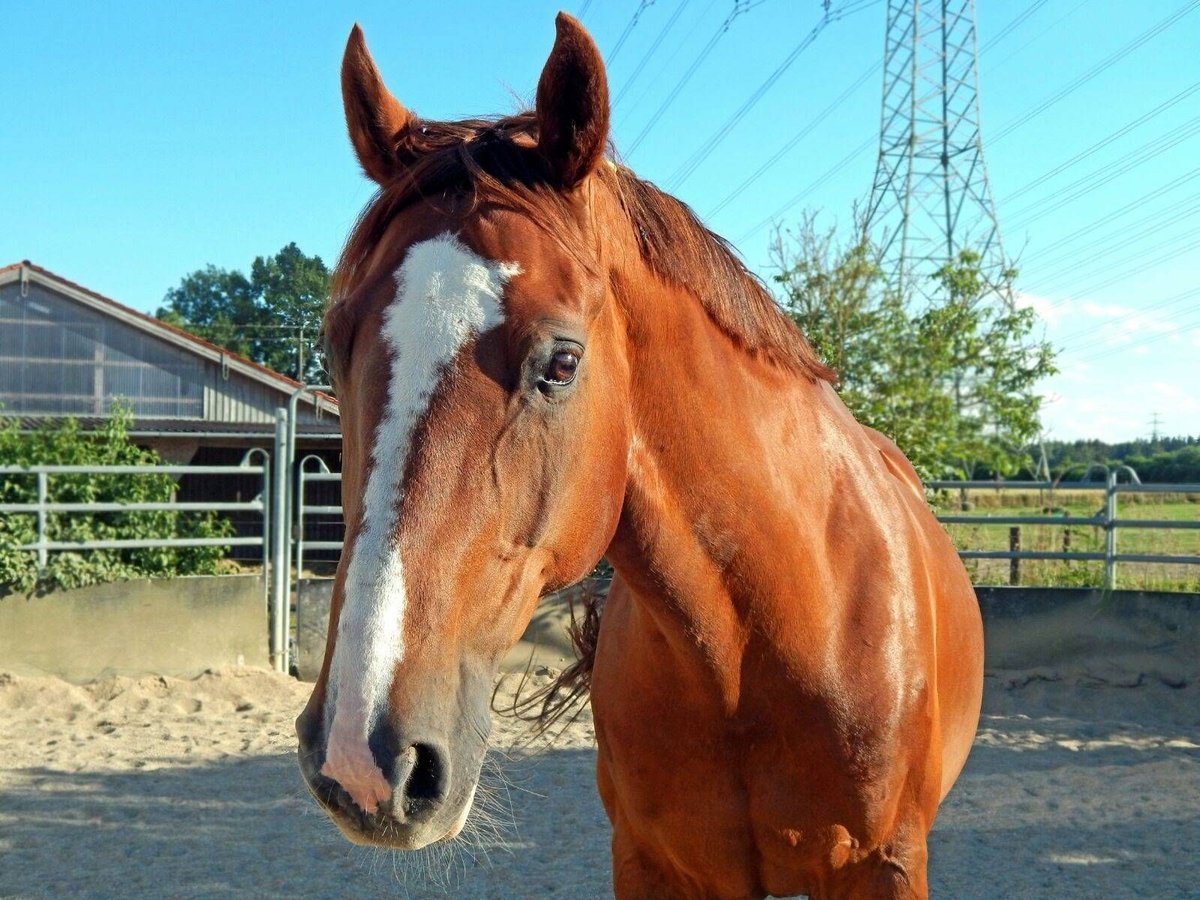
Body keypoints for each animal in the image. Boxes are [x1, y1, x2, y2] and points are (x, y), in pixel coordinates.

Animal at [295, 14, 979, 900]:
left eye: (561, 362)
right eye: (333, 344)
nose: (363, 752)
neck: (760, 646)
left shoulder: (885, 865)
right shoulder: (655, 862)